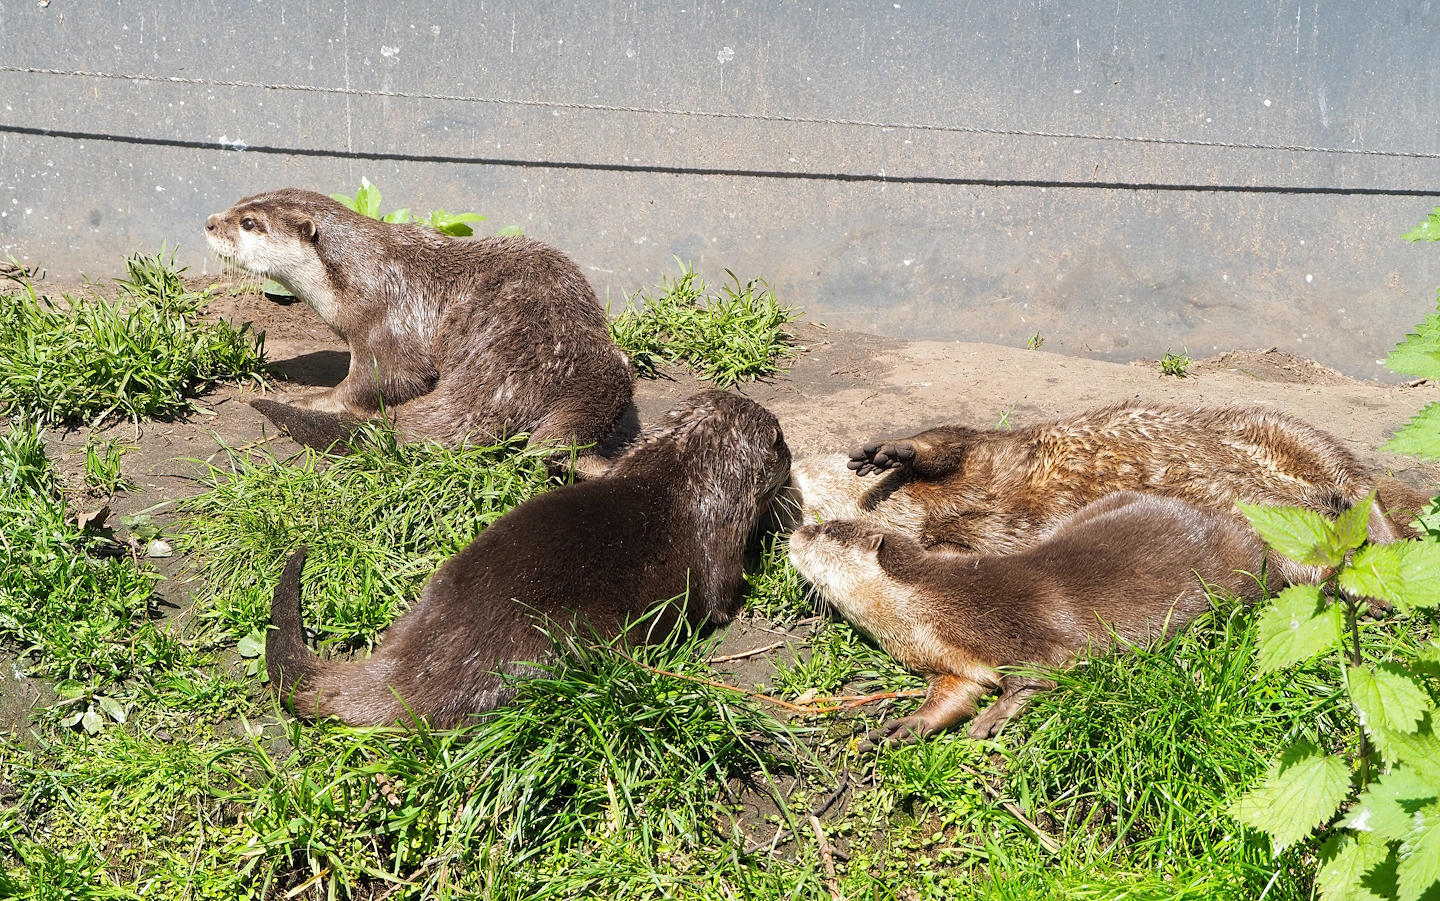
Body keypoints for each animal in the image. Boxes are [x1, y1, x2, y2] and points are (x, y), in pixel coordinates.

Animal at [205, 188, 633, 473]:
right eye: (238, 201)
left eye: (248, 223)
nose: (208, 222)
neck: (362, 276)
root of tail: (511, 378)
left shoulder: (384, 322)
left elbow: (383, 380)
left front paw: (307, 400)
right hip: (606, 371)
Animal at [266, 391, 791, 728]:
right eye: (782, 441)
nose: (790, 457)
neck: (684, 472)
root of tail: (416, 669)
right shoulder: (719, 545)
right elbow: (724, 598)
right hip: (555, 648)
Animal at [788, 492, 1275, 746]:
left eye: (827, 529)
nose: (794, 531)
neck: (929, 608)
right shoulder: (950, 664)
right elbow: (955, 694)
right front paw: (912, 723)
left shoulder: (1016, 620)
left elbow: (1049, 668)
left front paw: (994, 718)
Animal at [792, 402, 1412, 586]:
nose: (788, 460)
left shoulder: (990, 452)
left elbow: (949, 441)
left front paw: (887, 452)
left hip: (1280, 429)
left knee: (1358, 482)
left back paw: (1386, 545)